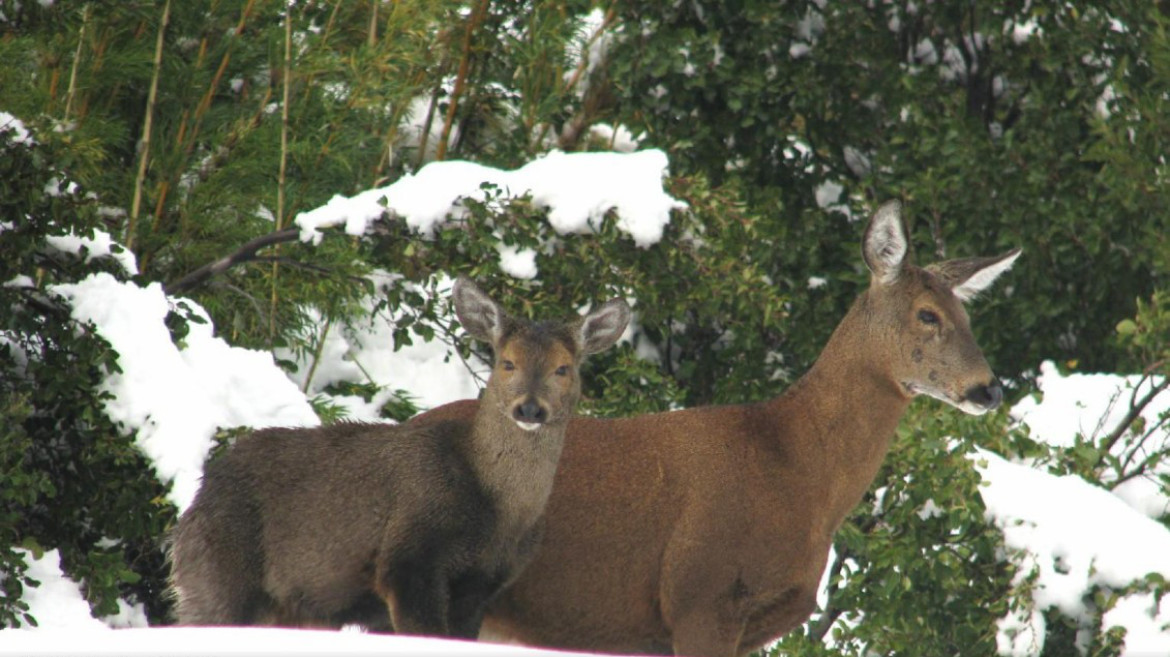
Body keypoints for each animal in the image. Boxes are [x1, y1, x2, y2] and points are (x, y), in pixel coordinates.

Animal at [167, 274, 631, 635]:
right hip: (219, 571)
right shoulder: (408, 558)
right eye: (507, 363)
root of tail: (194, 504)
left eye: (563, 368)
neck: (498, 512)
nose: (530, 409)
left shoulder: (483, 584)